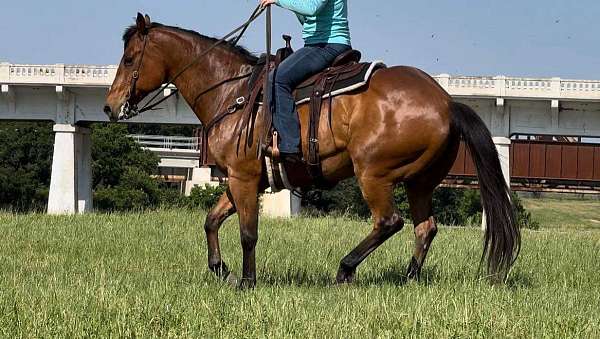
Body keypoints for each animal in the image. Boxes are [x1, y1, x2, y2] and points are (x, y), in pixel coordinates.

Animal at [104, 14, 520, 288]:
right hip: (421, 182)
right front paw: (221, 269)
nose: (109, 107)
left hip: (374, 174)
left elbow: (248, 232)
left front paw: (247, 281)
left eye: (129, 59)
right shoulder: (241, 180)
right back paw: (408, 278)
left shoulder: (243, 177)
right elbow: (211, 220)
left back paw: (346, 269)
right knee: (425, 227)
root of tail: (447, 102)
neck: (231, 92)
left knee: (389, 221)